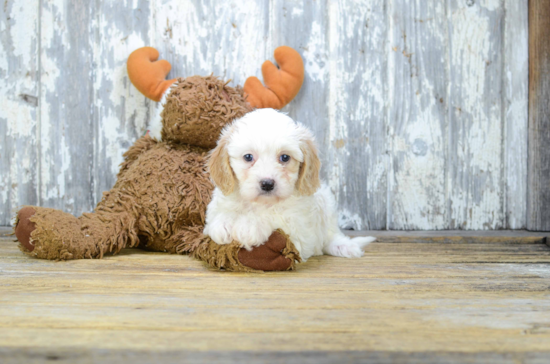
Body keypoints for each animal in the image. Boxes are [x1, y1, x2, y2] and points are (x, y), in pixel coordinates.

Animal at [205, 108, 378, 262]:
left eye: (285, 157)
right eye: (248, 157)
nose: (267, 184)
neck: (260, 203)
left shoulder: (299, 229)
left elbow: (275, 216)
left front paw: (249, 225)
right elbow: (220, 215)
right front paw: (224, 223)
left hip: (327, 206)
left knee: (330, 236)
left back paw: (344, 246)